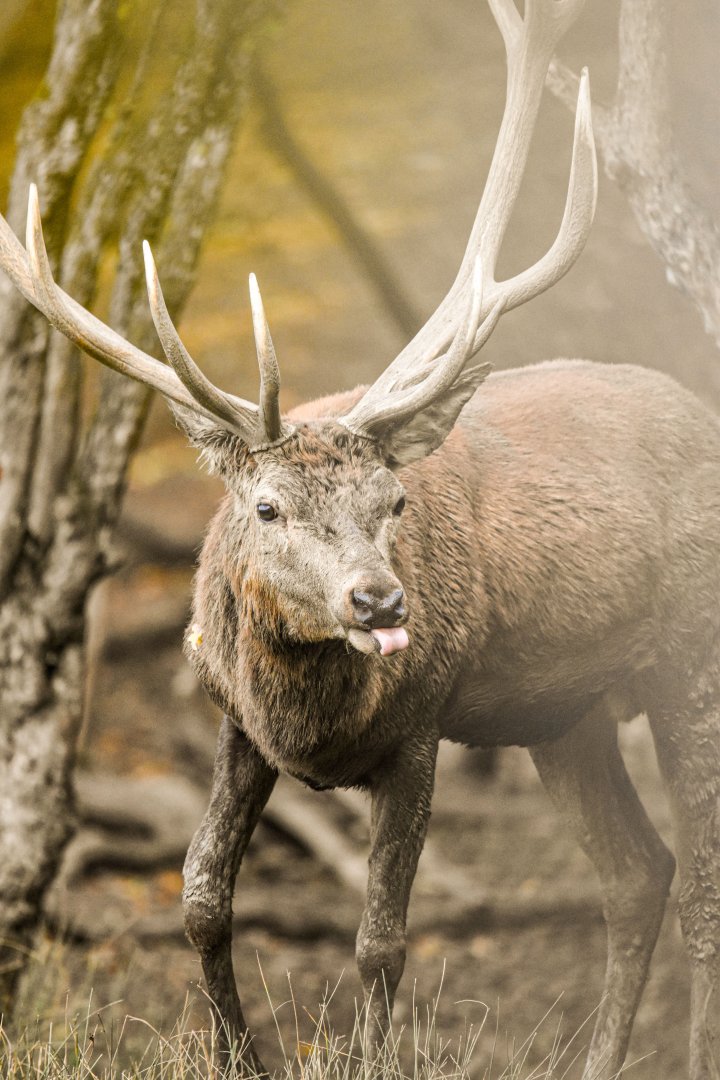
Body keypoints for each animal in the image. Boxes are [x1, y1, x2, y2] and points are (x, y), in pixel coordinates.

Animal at [2, 0, 720, 1077]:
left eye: (395, 500)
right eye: (265, 508)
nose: (379, 600)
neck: (313, 725)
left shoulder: (423, 727)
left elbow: (381, 940)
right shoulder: (234, 722)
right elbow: (200, 900)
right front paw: (242, 1058)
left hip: (687, 664)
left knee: (703, 891)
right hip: (565, 714)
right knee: (639, 872)